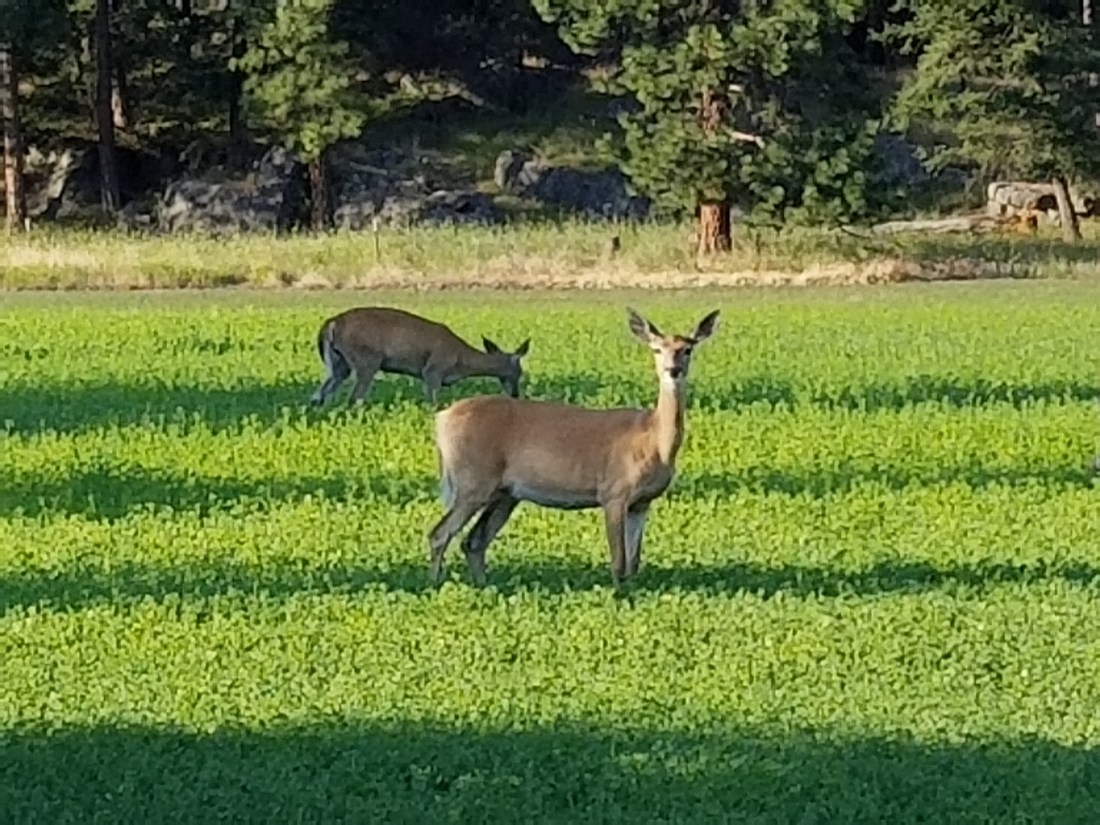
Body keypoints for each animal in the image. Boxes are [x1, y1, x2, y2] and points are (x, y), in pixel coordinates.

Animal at [310, 306, 531, 408]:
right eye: (519, 372)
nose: (515, 394)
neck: (460, 359)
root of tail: (332, 323)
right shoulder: (433, 370)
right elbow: (433, 403)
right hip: (367, 359)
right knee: (354, 397)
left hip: (340, 362)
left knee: (321, 393)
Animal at [427, 306, 720, 587]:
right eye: (656, 348)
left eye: (688, 349)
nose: (673, 370)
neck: (653, 439)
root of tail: (442, 419)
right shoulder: (614, 492)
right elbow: (618, 561)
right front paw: (618, 594)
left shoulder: (642, 502)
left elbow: (634, 562)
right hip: (472, 479)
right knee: (440, 533)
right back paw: (436, 584)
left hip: (505, 493)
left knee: (473, 542)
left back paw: (481, 586)